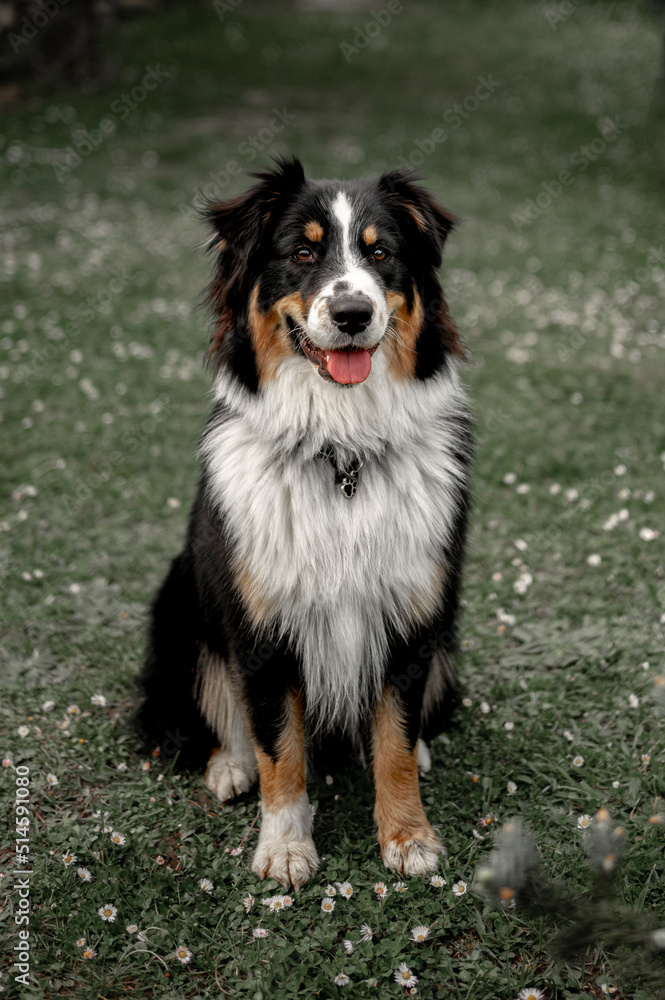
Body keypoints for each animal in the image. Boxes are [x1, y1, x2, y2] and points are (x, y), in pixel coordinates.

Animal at [137, 156, 472, 892]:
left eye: (381, 254)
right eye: (301, 253)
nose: (352, 313)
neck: (340, 452)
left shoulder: (411, 616)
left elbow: (394, 736)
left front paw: (408, 836)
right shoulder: (262, 629)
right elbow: (277, 745)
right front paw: (286, 848)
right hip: (180, 608)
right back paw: (228, 765)